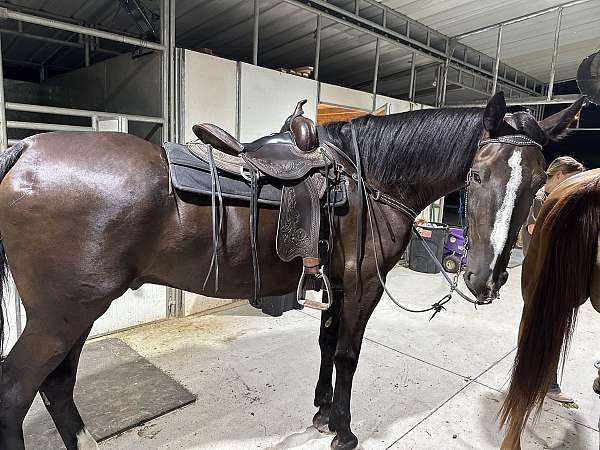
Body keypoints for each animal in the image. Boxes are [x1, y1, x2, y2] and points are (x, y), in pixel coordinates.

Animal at [0, 92, 584, 450]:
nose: (486, 279)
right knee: (18, 390)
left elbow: (326, 344)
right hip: (62, 315)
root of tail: (26, 147)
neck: (369, 180)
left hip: (76, 312)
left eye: (539, 182)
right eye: (478, 175)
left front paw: (322, 411)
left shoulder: (335, 285)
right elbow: (347, 355)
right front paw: (343, 430)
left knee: (58, 385)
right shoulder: (363, 287)